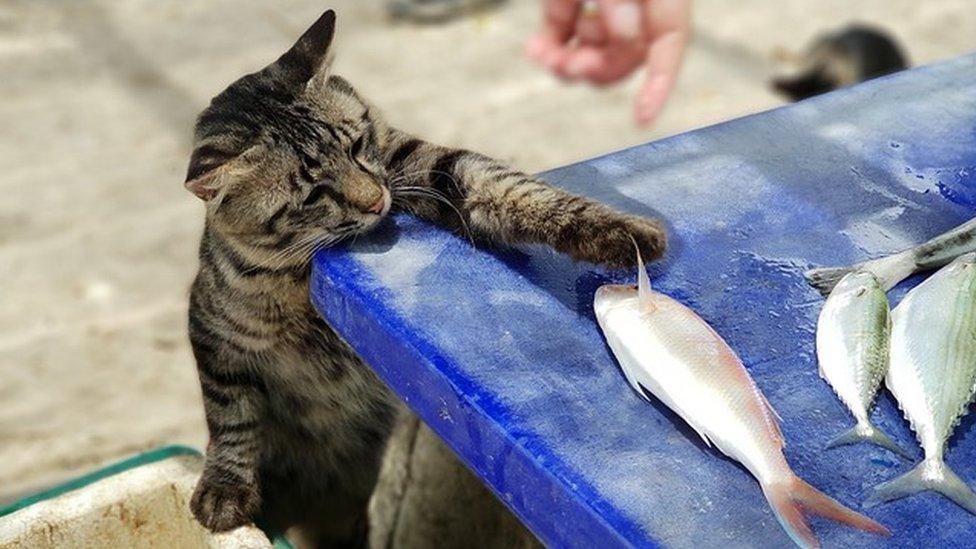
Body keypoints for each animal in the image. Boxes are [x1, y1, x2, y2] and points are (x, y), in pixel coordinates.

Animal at [185, 8, 664, 548]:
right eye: (312, 194)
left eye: (357, 145)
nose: (376, 201)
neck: (305, 272)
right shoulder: (214, 339)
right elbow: (231, 418)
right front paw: (223, 490)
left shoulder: (429, 165)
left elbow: (517, 190)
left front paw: (618, 233)